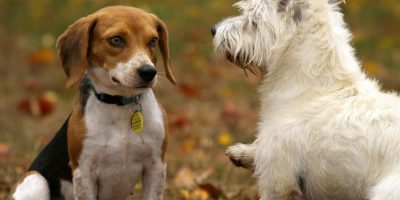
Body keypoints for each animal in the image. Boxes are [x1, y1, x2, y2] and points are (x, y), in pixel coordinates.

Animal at [12, 5, 175, 199]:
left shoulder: (156, 167)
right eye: (116, 40)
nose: (148, 72)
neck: (120, 105)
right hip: (35, 180)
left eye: (153, 41)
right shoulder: (84, 172)